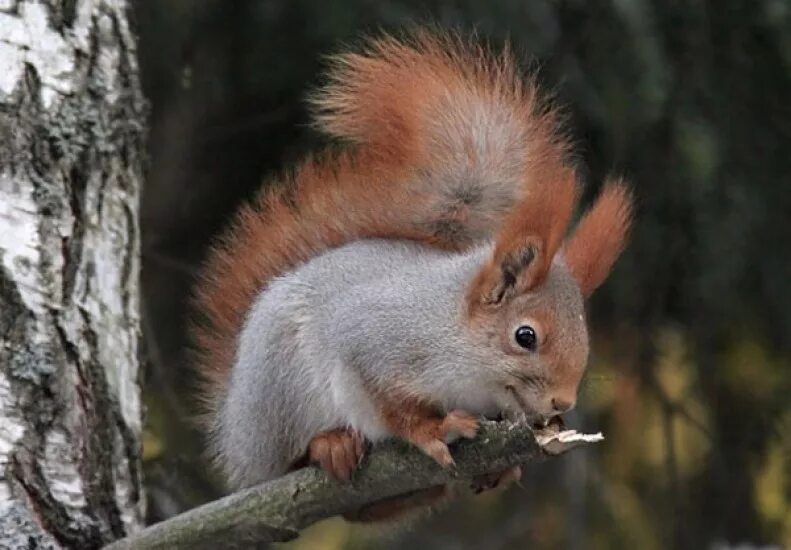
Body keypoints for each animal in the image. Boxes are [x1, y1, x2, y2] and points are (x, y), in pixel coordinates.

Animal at [192, 30, 632, 502]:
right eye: (525, 336)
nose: (562, 403)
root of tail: (234, 423)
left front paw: (503, 468)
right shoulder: (371, 341)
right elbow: (389, 407)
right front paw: (433, 429)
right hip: (281, 391)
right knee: (283, 459)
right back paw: (329, 445)